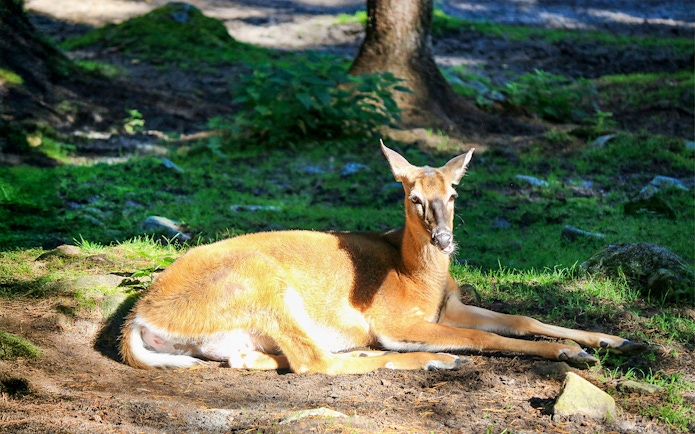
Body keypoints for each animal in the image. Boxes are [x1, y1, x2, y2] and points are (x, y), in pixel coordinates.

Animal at [120, 141, 645, 374]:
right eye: (413, 197)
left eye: (454, 193)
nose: (444, 240)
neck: (417, 277)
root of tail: (138, 317)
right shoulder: (395, 318)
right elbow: (481, 337)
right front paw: (568, 352)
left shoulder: (449, 304)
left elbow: (520, 318)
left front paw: (615, 340)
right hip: (263, 282)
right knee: (313, 362)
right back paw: (434, 362)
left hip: (237, 332)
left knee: (252, 360)